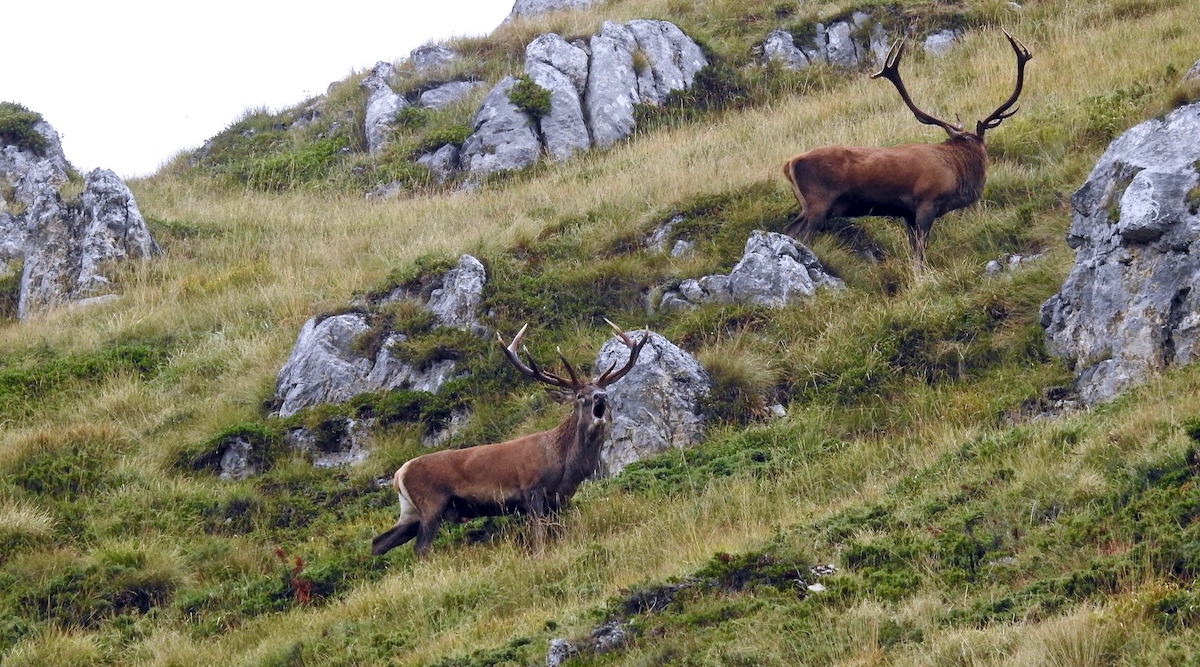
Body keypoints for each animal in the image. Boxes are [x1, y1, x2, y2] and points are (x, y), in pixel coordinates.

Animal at [371, 319, 649, 558]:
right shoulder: (532, 489)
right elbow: (539, 537)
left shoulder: (559, 498)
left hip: (410, 511)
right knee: (421, 547)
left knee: (379, 542)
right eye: (581, 396)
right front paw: (539, 557)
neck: (565, 464)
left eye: (603, 389)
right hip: (431, 503)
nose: (601, 397)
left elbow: (556, 533)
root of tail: (399, 474)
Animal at [782, 31, 1031, 268]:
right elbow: (920, 250)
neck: (956, 171)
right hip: (818, 201)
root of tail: (789, 163)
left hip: (806, 204)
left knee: (788, 229)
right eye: (983, 147)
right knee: (799, 232)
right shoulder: (926, 202)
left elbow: (913, 249)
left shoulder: (907, 213)